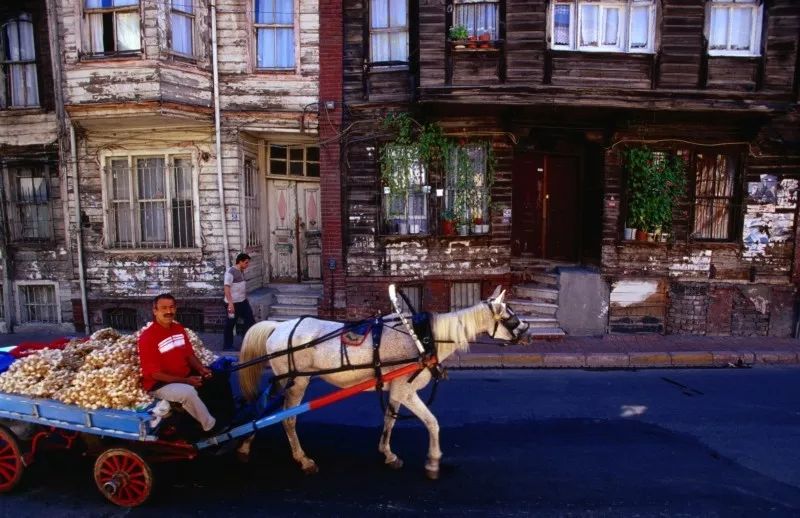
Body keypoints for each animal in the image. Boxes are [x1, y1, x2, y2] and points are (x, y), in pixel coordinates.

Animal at [234, 286, 528, 482]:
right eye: (509, 315)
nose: (527, 332)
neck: (423, 338)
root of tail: (277, 327)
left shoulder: (397, 389)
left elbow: (389, 421)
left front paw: (387, 454)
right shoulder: (407, 390)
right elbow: (432, 423)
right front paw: (433, 462)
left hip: (283, 381)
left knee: (261, 411)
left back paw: (246, 444)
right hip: (296, 381)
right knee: (288, 419)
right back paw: (302, 459)